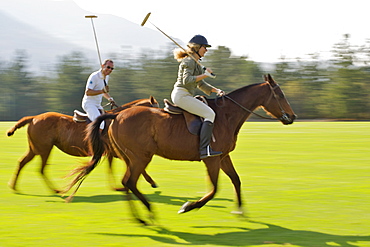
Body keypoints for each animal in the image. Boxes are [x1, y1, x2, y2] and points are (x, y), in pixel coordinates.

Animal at [6, 95, 159, 194]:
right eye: (157, 108)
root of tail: (33, 118)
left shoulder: (112, 152)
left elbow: (113, 167)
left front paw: (118, 186)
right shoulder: (116, 152)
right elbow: (133, 166)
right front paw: (150, 182)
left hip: (35, 148)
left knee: (22, 162)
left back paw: (14, 187)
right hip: (44, 148)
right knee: (41, 169)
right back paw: (55, 189)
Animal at [66, 74, 296, 223]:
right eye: (280, 95)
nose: (292, 117)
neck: (227, 115)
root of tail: (116, 116)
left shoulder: (223, 157)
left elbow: (236, 180)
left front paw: (240, 211)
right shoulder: (211, 158)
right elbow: (214, 189)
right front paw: (188, 206)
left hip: (131, 158)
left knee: (127, 183)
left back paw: (140, 217)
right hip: (140, 157)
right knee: (129, 182)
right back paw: (148, 213)